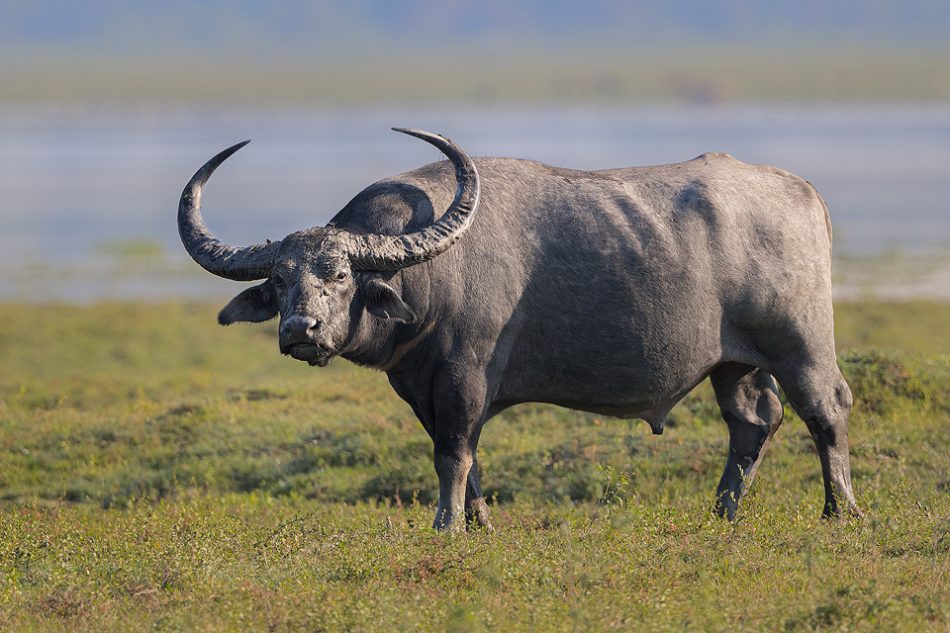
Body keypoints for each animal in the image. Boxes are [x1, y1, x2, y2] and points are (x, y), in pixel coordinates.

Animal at [177, 127, 864, 528]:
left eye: (341, 274)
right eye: (281, 280)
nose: (302, 328)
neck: (433, 272)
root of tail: (804, 191)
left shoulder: (464, 377)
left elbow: (453, 454)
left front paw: (447, 527)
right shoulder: (421, 389)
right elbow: (463, 454)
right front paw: (478, 522)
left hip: (800, 344)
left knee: (826, 410)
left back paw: (841, 512)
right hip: (733, 362)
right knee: (753, 421)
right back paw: (721, 514)